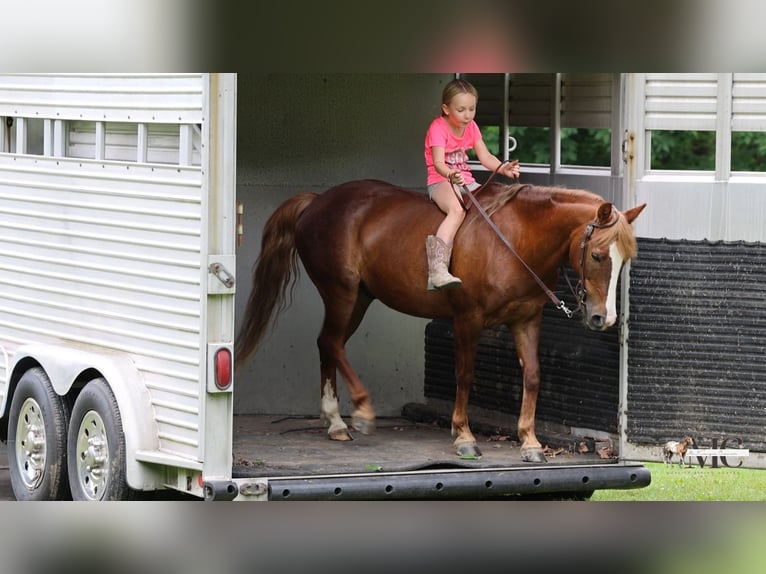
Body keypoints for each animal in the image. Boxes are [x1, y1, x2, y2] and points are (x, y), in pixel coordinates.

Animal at [234, 179, 646, 463]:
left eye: (625, 259)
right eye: (597, 255)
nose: (602, 317)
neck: (516, 240)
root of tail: (317, 201)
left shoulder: (527, 320)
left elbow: (532, 376)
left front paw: (530, 442)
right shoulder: (468, 319)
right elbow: (464, 375)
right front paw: (464, 436)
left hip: (359, 299)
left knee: (327, 344)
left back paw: (334, 422)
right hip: (341, 293)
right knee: (332, 343)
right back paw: (359, 412)